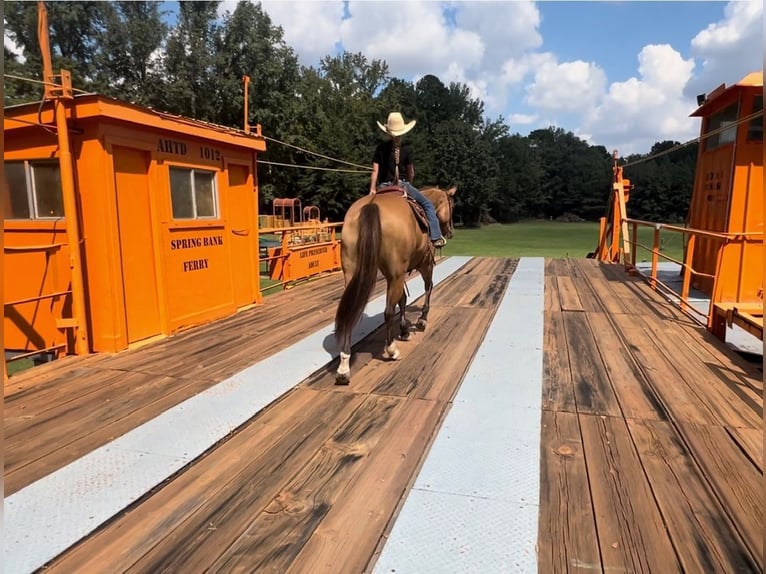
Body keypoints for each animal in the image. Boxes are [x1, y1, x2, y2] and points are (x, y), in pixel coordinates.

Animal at [334, 187, 456, 388]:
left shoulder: (399, 274)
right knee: (388, 311)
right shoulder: (423, 265)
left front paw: (405, 329)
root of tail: (371, 205)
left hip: (352, 272)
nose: (450, 231)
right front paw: (421, 320)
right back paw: (391, 350)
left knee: (349, 312)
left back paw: (344, 367)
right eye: (451, 205)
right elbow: (427, 288)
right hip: (396, 274)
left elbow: (403, 299)